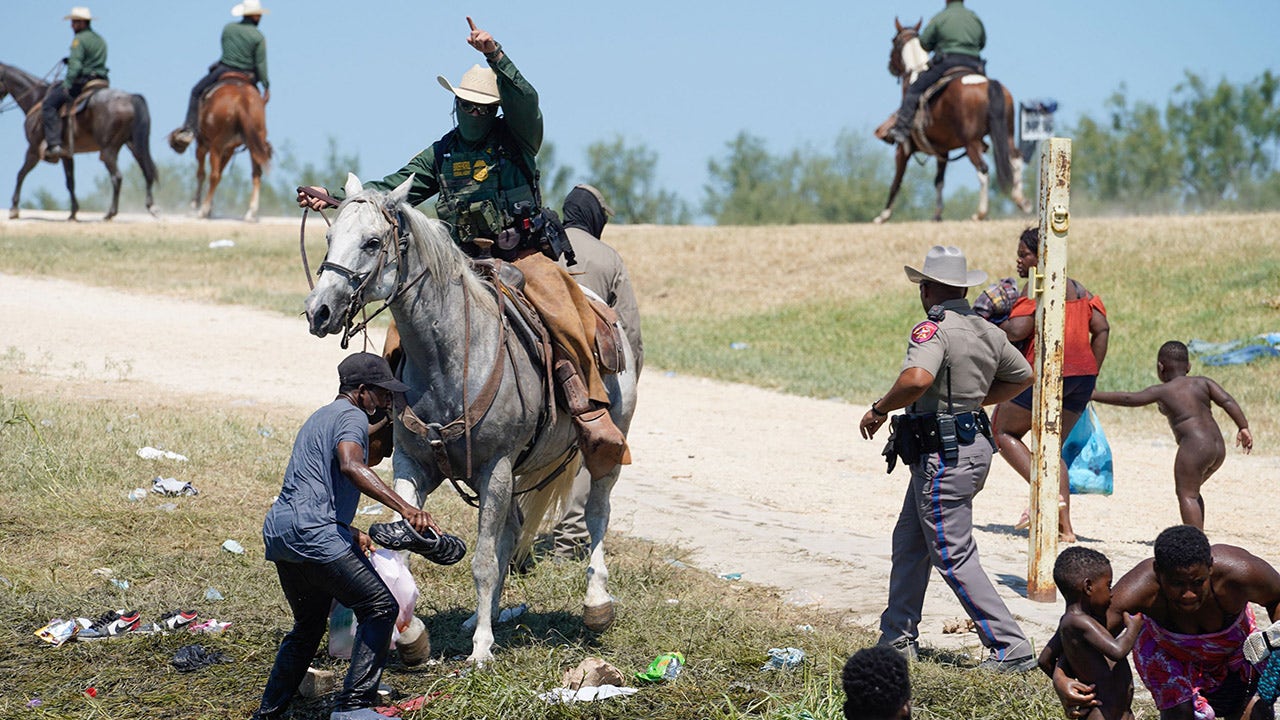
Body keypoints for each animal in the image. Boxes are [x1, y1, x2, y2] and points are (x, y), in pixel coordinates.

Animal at [0, 61, 157, 219]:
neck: (36, 98)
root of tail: (129, 98)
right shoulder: (65, 154)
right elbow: (70, 182)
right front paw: (73, 213)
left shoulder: (33, 150)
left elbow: (20, 174)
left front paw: (14, 209)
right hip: (134, 146)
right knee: (147, 170)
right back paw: (151, 207)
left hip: (108, 150)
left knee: (117, 177)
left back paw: (110, 213)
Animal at [170, 75, 270, 221]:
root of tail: (242, 99)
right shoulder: (229, 150)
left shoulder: (203, 144)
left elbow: (201, 173)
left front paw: (196, 205)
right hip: (253, 144)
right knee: (256, 174)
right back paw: (251, 212)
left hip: (216, 145)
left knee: (214, 175)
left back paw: (203, 210)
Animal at [304, 174, 634, 661]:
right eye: (329, 238)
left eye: (372, 242)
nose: (319, 310)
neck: (450, 356)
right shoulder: (414, 464)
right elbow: (407, 548)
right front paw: (412, 634)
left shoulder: (495, 467)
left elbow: (481, 561)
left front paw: (480, 649)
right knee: (512, 531)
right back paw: (491, 614)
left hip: (603, 448)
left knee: (597, 513)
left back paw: (596, 603)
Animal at [875, 19, 1034, 221]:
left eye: (894, 41)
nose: (890, 65)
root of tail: (989, 84)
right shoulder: (942, 151)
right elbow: (939, 181)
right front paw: (937, 215)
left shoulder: (903, 149)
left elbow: (897, 181)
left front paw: (883, 215)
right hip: (1007, 135)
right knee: (1015, 160)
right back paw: (1022, 201)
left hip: (971, 143)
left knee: (983, 170)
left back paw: (980, 213)